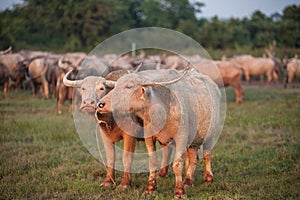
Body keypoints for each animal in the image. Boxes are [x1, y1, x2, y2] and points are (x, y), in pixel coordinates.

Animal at [97, 68, 221, 198]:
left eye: (129, 86)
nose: (100, 104)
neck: (162, 110)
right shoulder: (149, 137)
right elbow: (153, 162)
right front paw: (150, 189)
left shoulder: (181, 138)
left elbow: (177, 164)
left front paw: (179, 191)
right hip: (193, 141)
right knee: (193, 158)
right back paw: (188, 181)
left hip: (210, 136)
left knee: (207, 155)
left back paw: (208, 179)